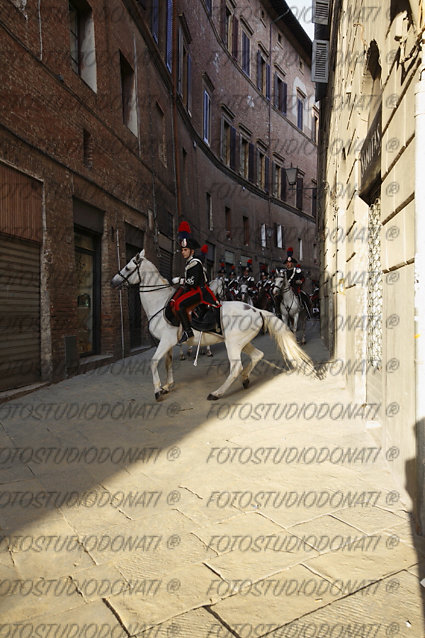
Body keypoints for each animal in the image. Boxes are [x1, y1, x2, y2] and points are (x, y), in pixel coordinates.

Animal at [111, 250, 314, 400]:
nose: (113, 281)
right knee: (257, 356)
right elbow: (167, 363)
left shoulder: (166, 341)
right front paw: (168, 386)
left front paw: (157, 390)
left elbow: (154, 362)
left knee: (236, 367)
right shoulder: (167, 343)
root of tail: (257, 310)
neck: (159, 302)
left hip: (233, 344)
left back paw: (217, 393)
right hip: (241, 342)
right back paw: (245, 379)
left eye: (128, 267)